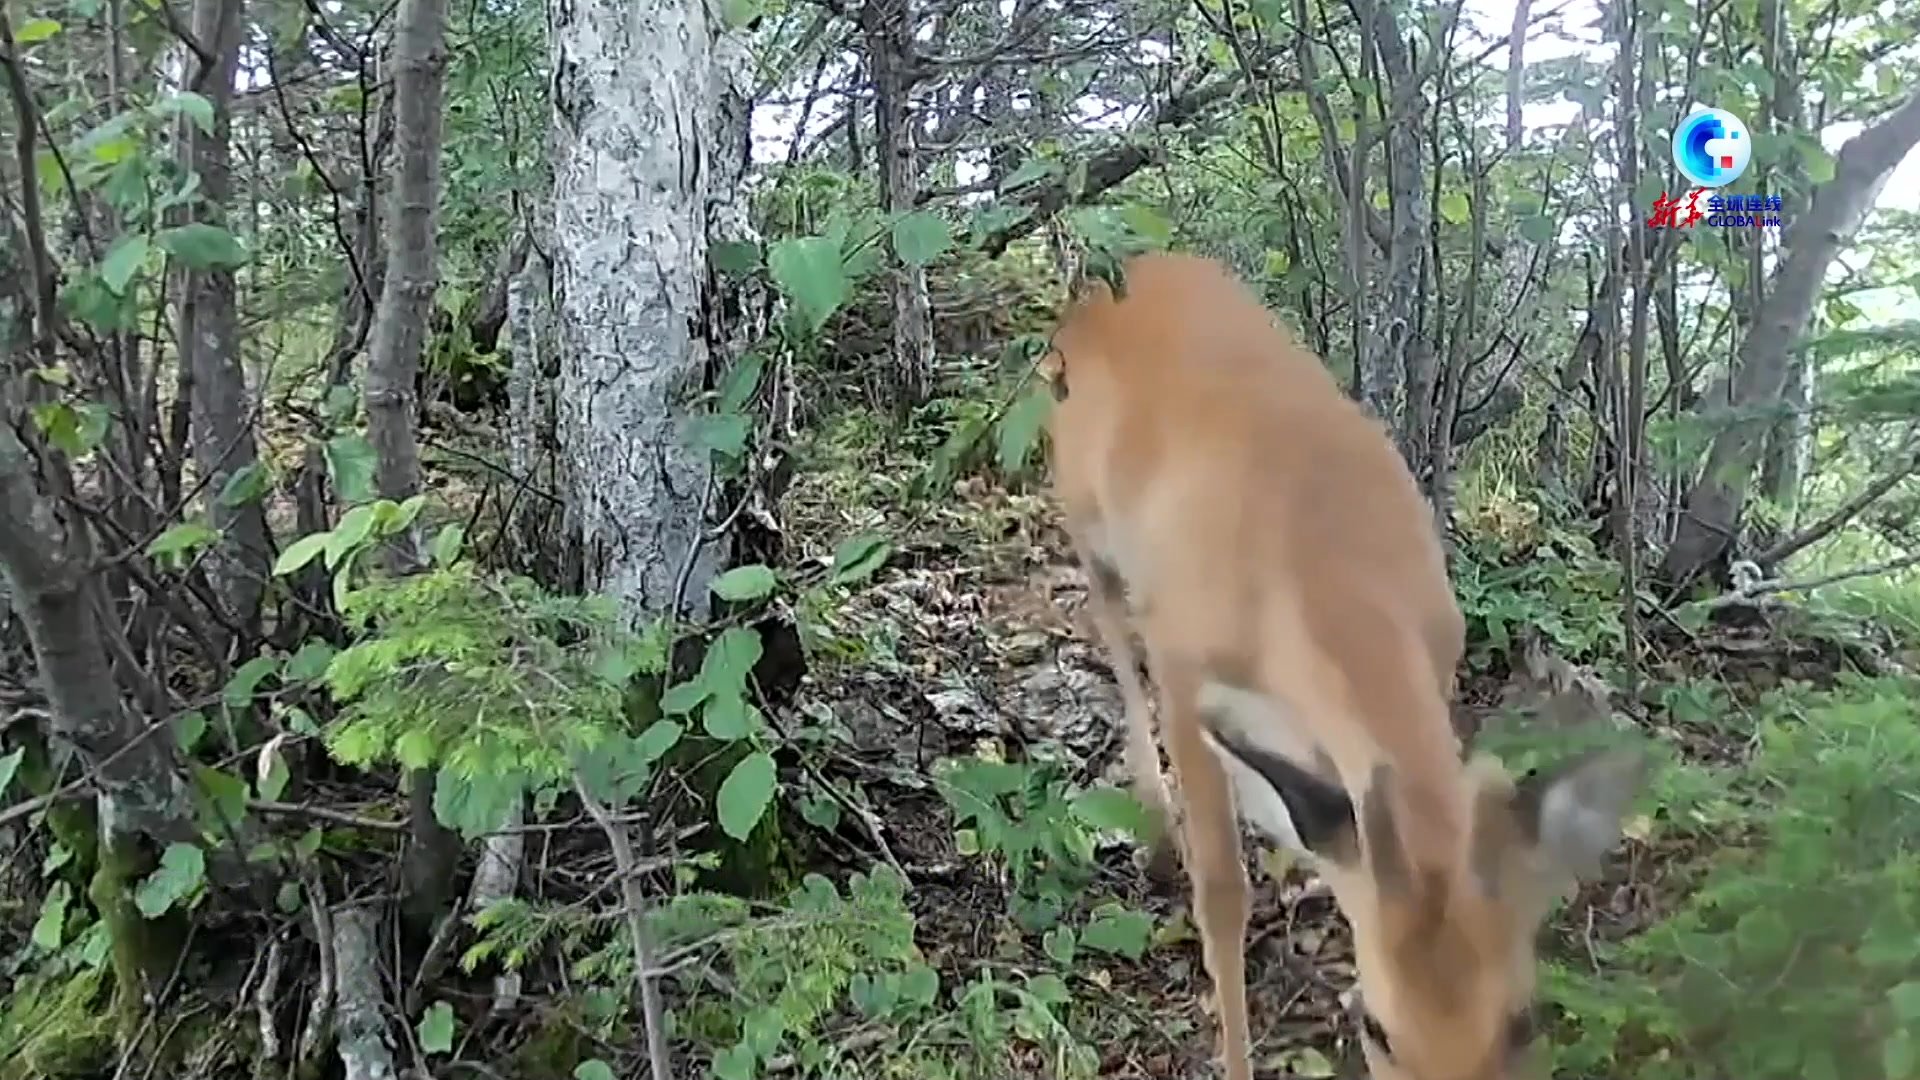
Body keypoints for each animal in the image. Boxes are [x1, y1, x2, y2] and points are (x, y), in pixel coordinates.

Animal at [1044, 247, 1643, 1068]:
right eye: (1377, 1029)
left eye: (1525, 1022)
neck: (1324, 560)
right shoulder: (1184, 665)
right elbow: (1222, 894)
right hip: (1084, 514)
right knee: (1109, 631)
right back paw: (1158, 825)